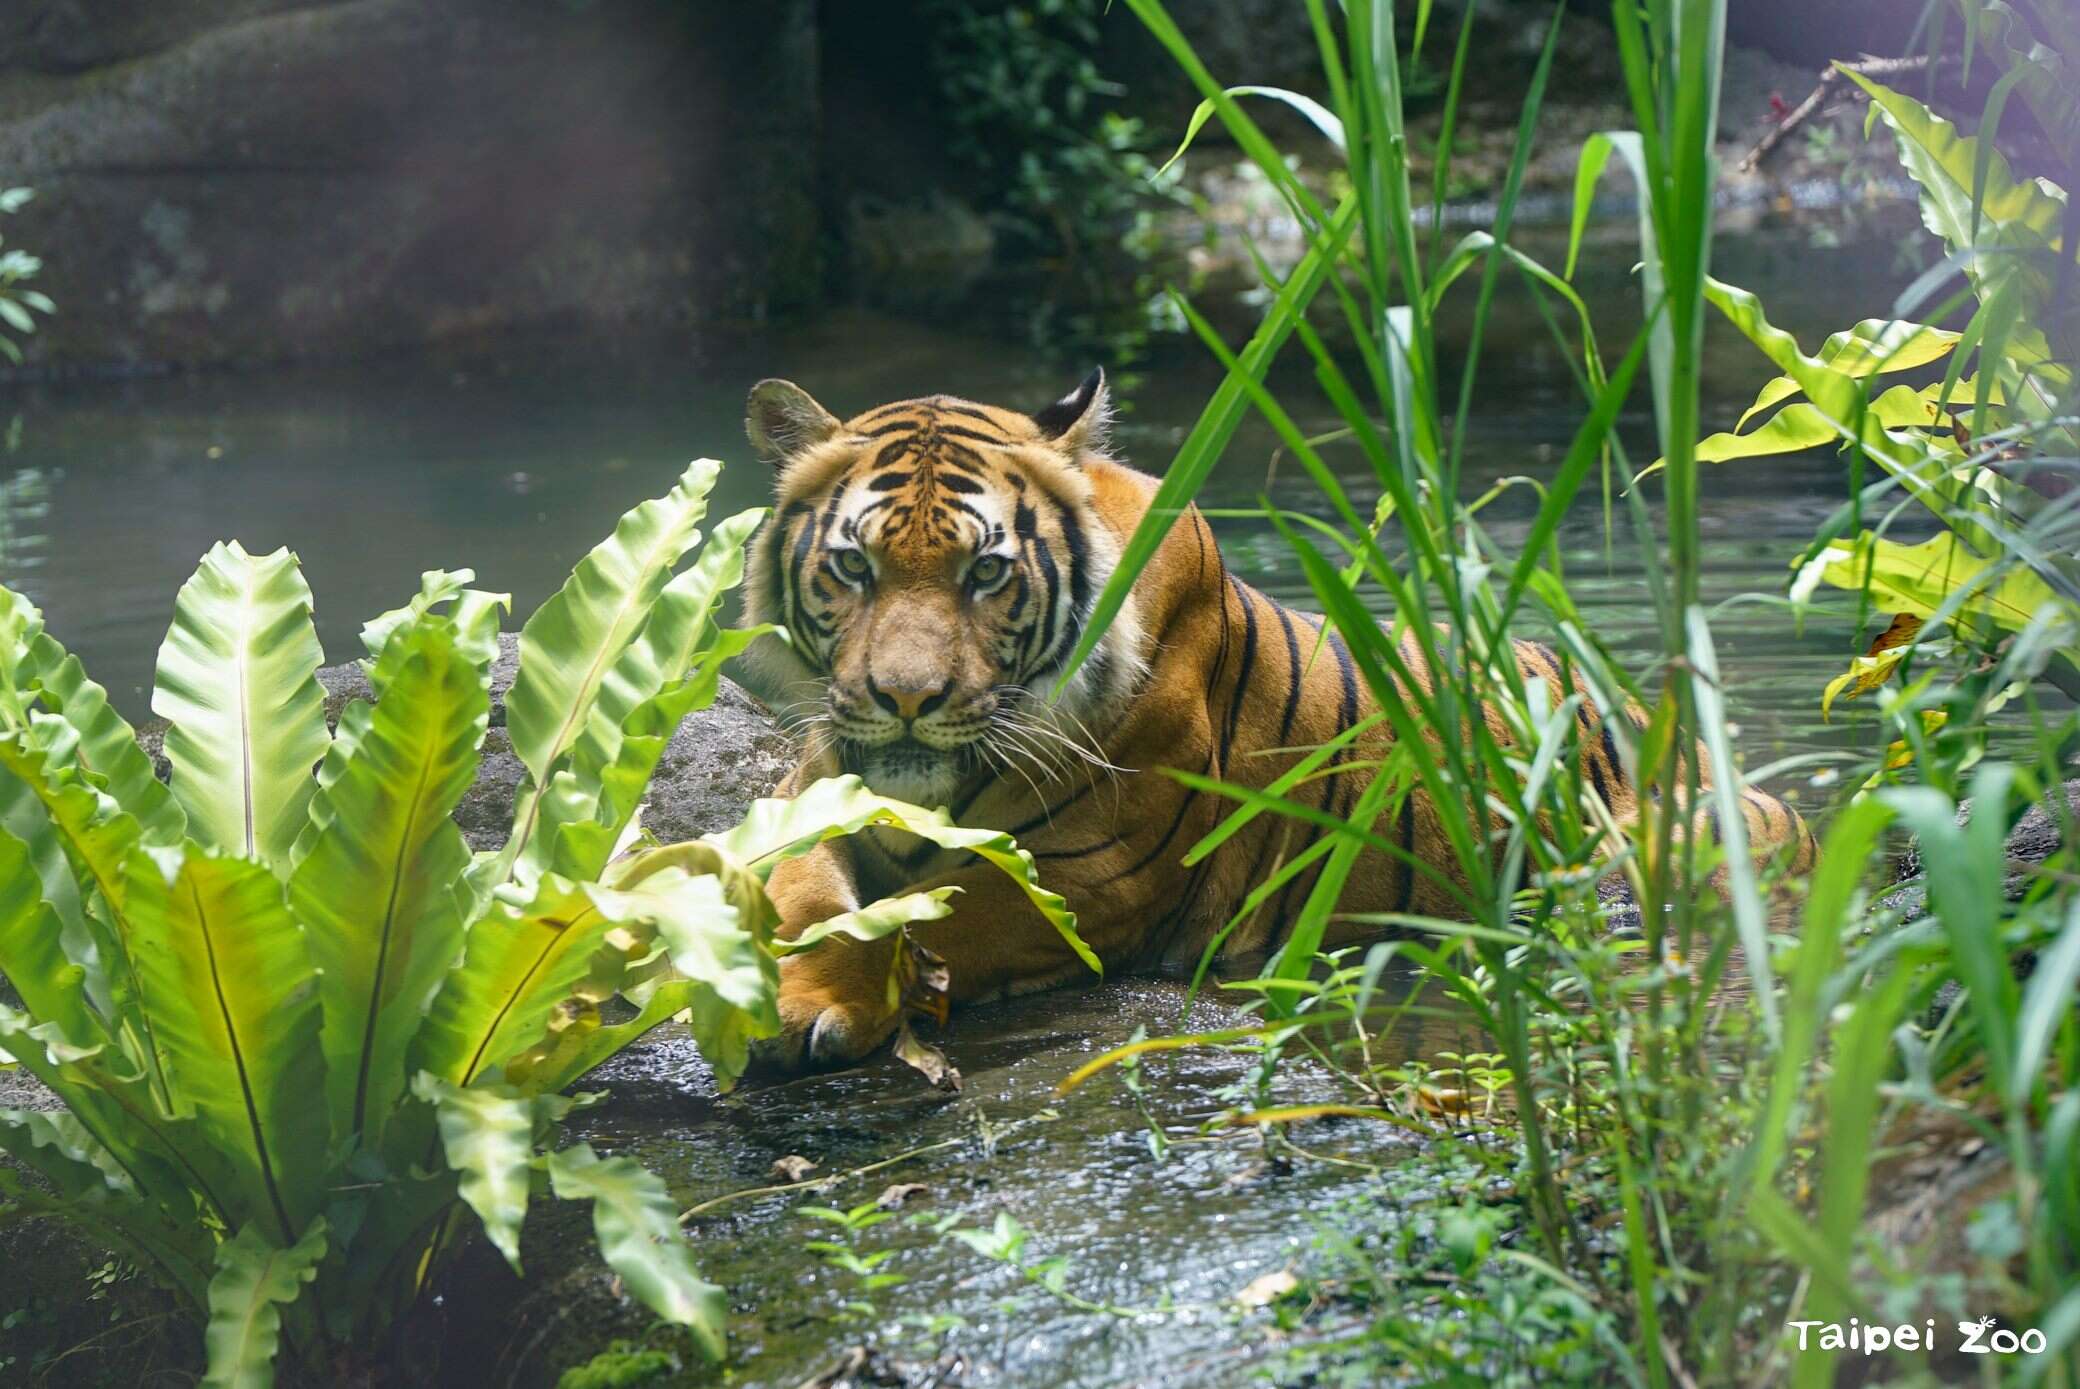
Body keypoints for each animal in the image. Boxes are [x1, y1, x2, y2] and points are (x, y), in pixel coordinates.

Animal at [740, 369, 1818, 1070]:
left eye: (987, 572)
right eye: (853, 566)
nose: (905, 700)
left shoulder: (1087, 877)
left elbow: (926, 912)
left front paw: (814, 1003)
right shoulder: (812, 785)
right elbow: (801, 885)